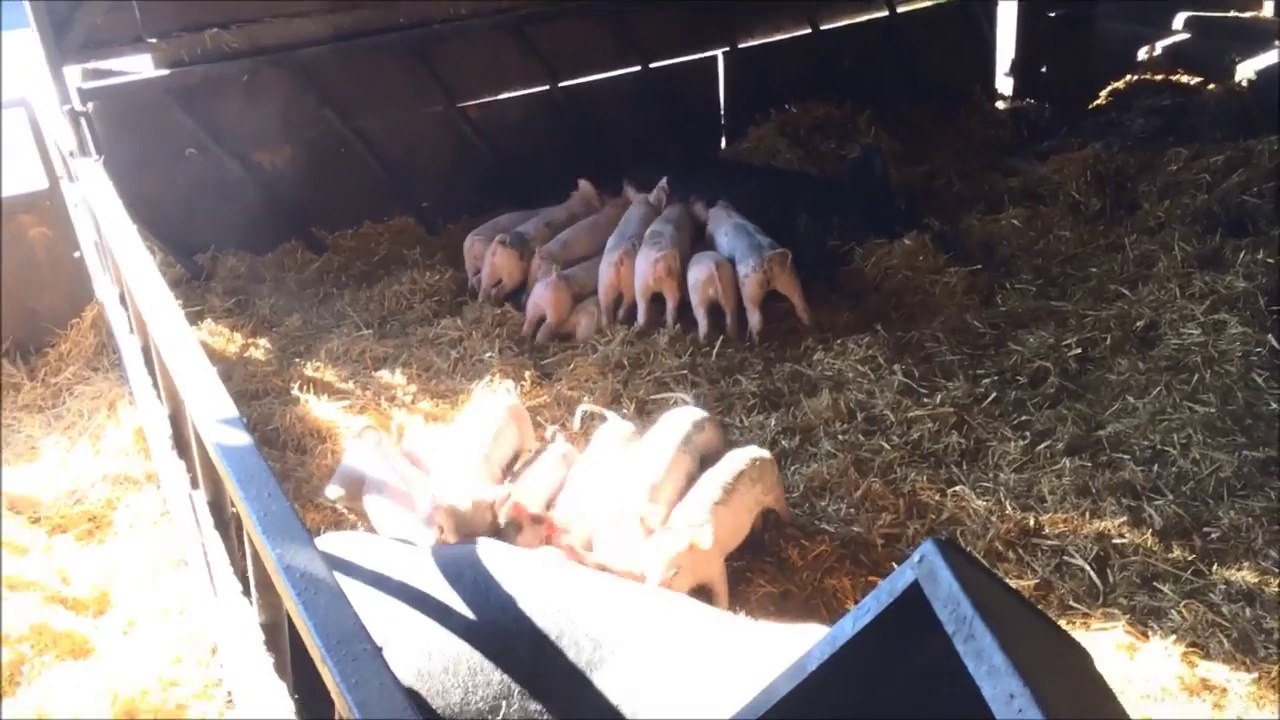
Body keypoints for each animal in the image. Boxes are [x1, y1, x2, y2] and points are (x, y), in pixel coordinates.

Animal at [646, 445, 790, 609]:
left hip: (776, 490)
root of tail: (761, 450)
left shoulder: (717, 566)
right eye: (649, 572)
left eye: (675, 573)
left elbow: (721, 595)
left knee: (783, 509)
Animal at [693, 199, 813, 342]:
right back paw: (809, 328)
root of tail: (767, 257)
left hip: (750, 285)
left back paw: (753, 341)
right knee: (801, 304)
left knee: (756, 318)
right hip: (789, 276)